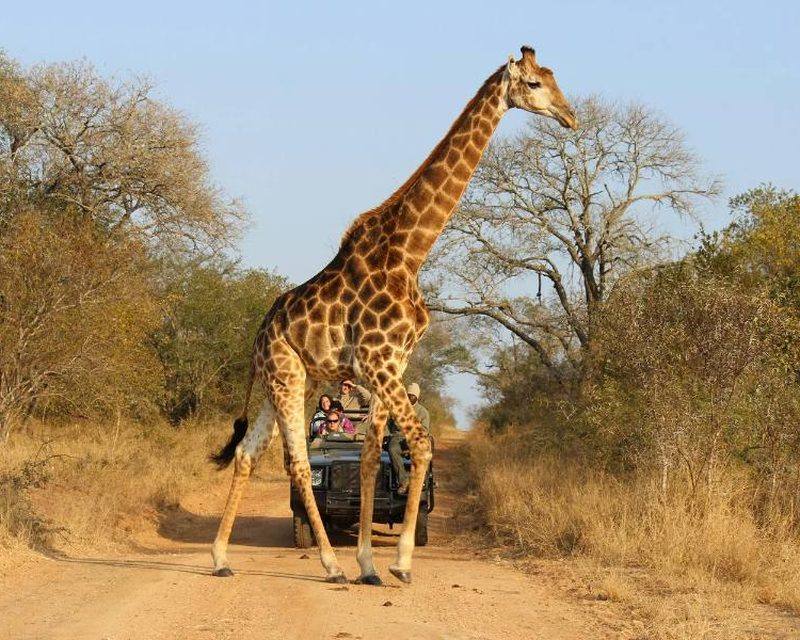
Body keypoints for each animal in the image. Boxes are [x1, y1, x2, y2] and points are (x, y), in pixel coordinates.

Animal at [210, 45, 577, 585]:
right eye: (533, 84)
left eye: (553, 78)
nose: (571, 116)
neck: (410, 252)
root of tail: (259, 335)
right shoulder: (378, 361)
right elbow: (420, 444)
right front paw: (399, 562)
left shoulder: (391, 363)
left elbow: (368, 456)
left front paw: (369, 563)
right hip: (286, 375)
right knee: (296, 463)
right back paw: (328, 565)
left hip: (287, 380)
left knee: (246, 453)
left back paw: (220, 558)